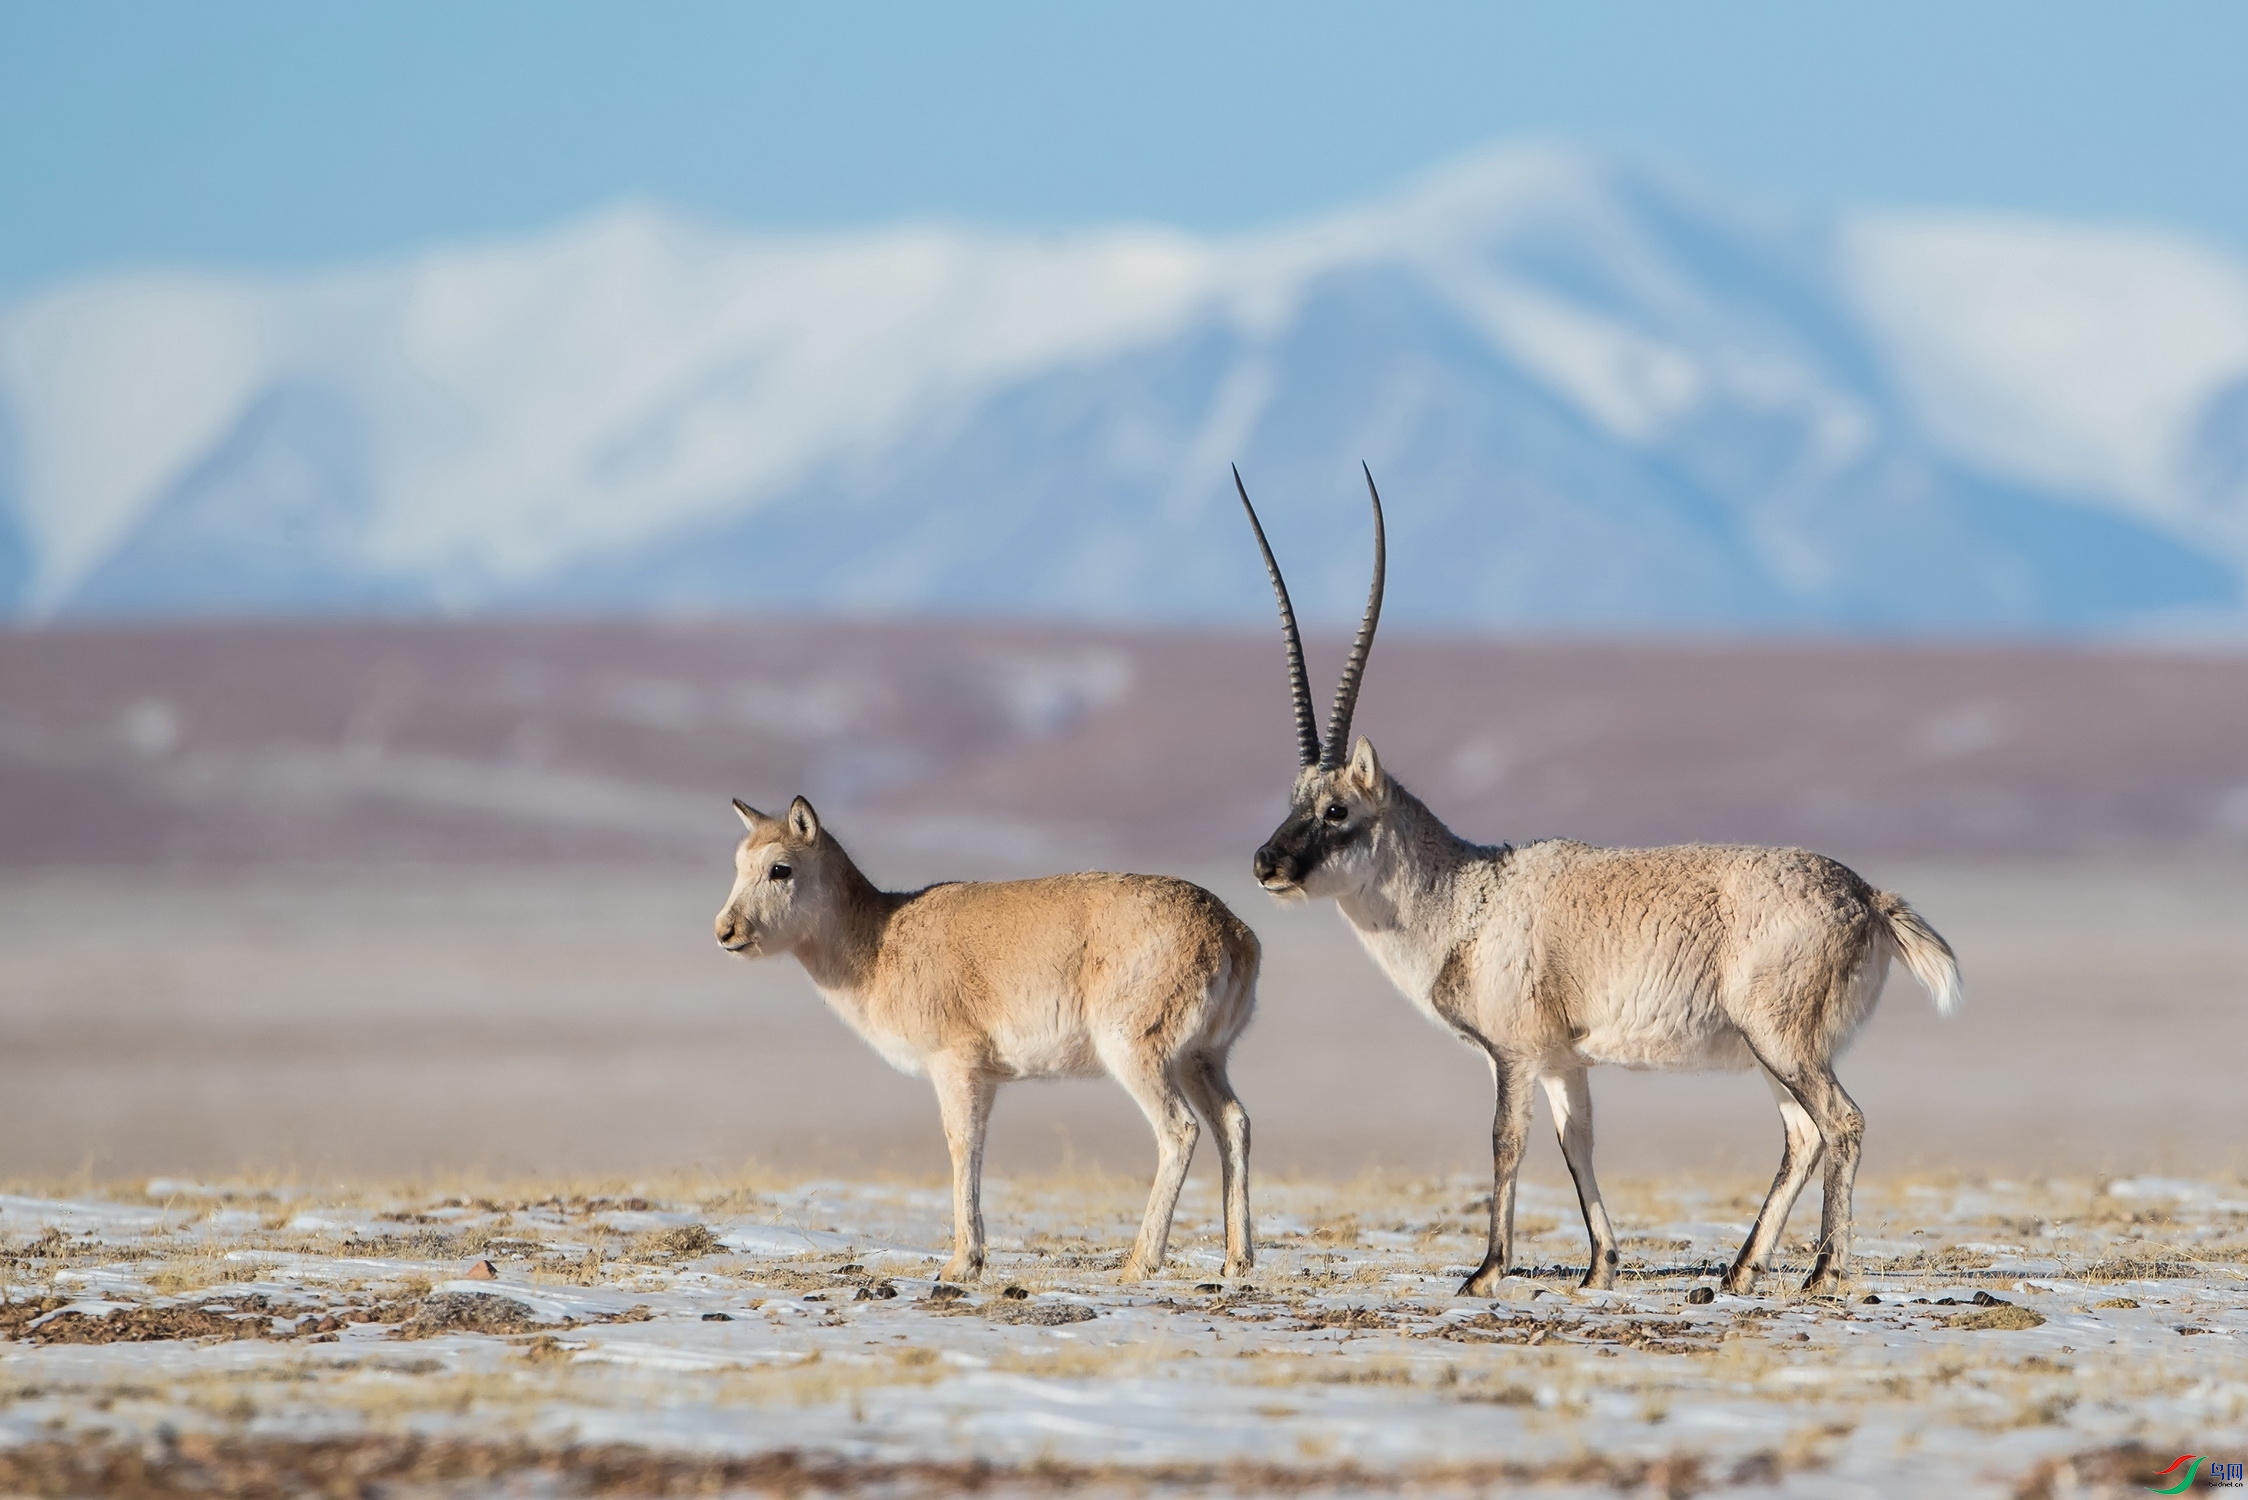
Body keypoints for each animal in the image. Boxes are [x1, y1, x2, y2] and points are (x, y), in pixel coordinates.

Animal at [710, 805, 1258, 1286]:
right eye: (738, 865)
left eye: (780, 868)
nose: (725, 931)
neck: (882, 937)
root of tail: (1231, 933)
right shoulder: (987, 1080)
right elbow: (976, 1147)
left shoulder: (954, 1067)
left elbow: (962, 1143)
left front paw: (961, 1264)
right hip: (1200, 1061)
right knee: (1233, 1122)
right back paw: (1236, 1260)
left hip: (1139, 1056)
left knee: (1181, 1129)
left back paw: (1139, 1264)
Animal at [1240, 470, 1960, 1304]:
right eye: (1293, 798)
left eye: (1336, 810)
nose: (1265, 863)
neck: (1468, 895)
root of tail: (1868, 898)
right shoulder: (1564, 1063)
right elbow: (1575, 1143)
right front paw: (1598, 1267)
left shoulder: (1513, 1056)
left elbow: (1507, 1141)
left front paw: (1485, 1271)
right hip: (1781, 1051)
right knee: (1806, 1133)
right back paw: (1739, 1269)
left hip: (1781, 1040)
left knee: (1841, 1124)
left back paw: (1821, 1271)